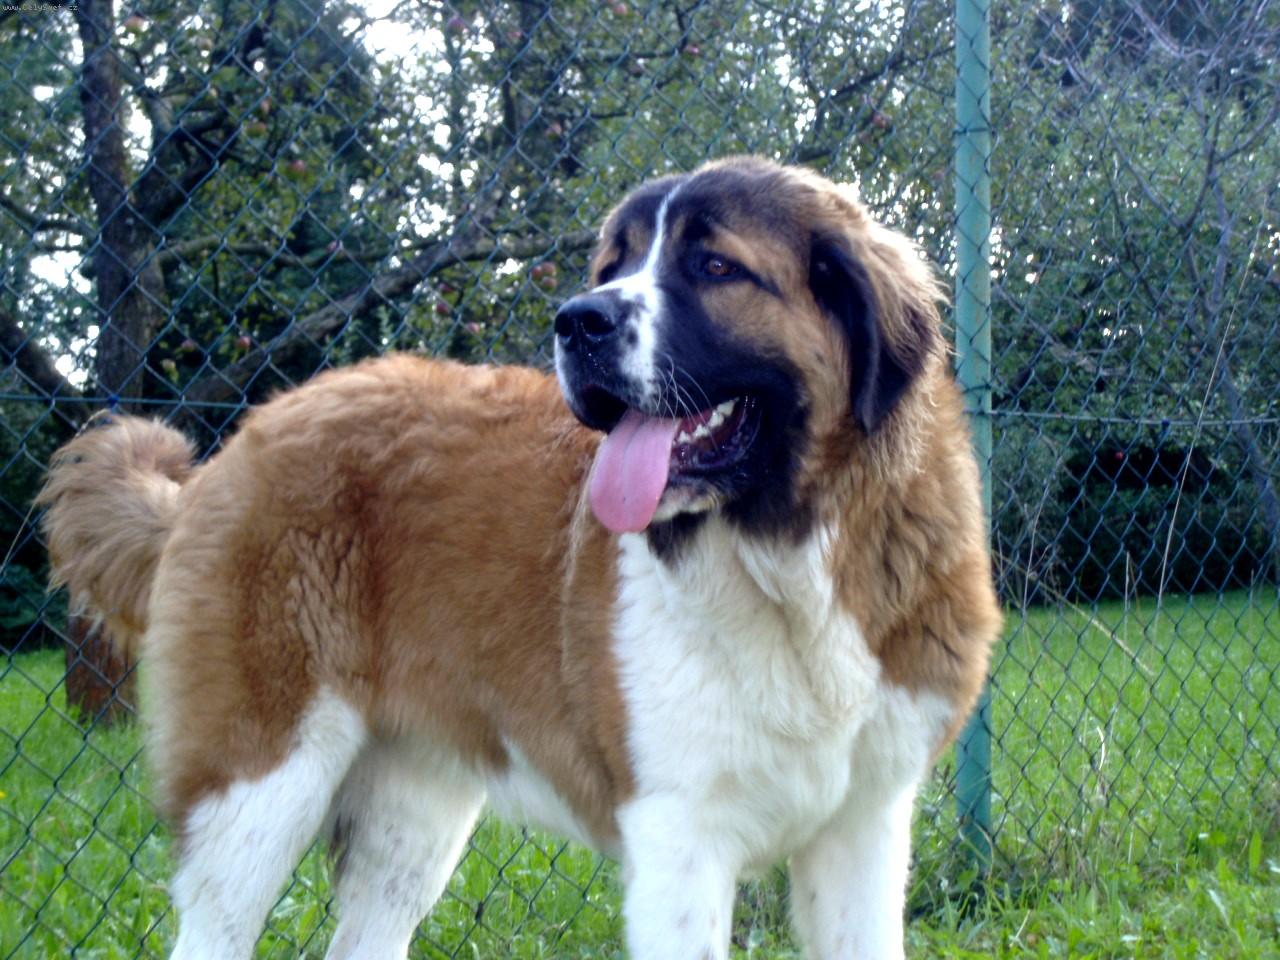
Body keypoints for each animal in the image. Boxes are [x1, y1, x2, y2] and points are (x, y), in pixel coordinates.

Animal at [40, 156, 1001, 960]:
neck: (785, 555)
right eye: (613, 265)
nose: (577, 320)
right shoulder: (680, 837)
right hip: (257, 789)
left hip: (412, 815)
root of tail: (239, 443)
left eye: (714, 267)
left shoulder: (865, 827)